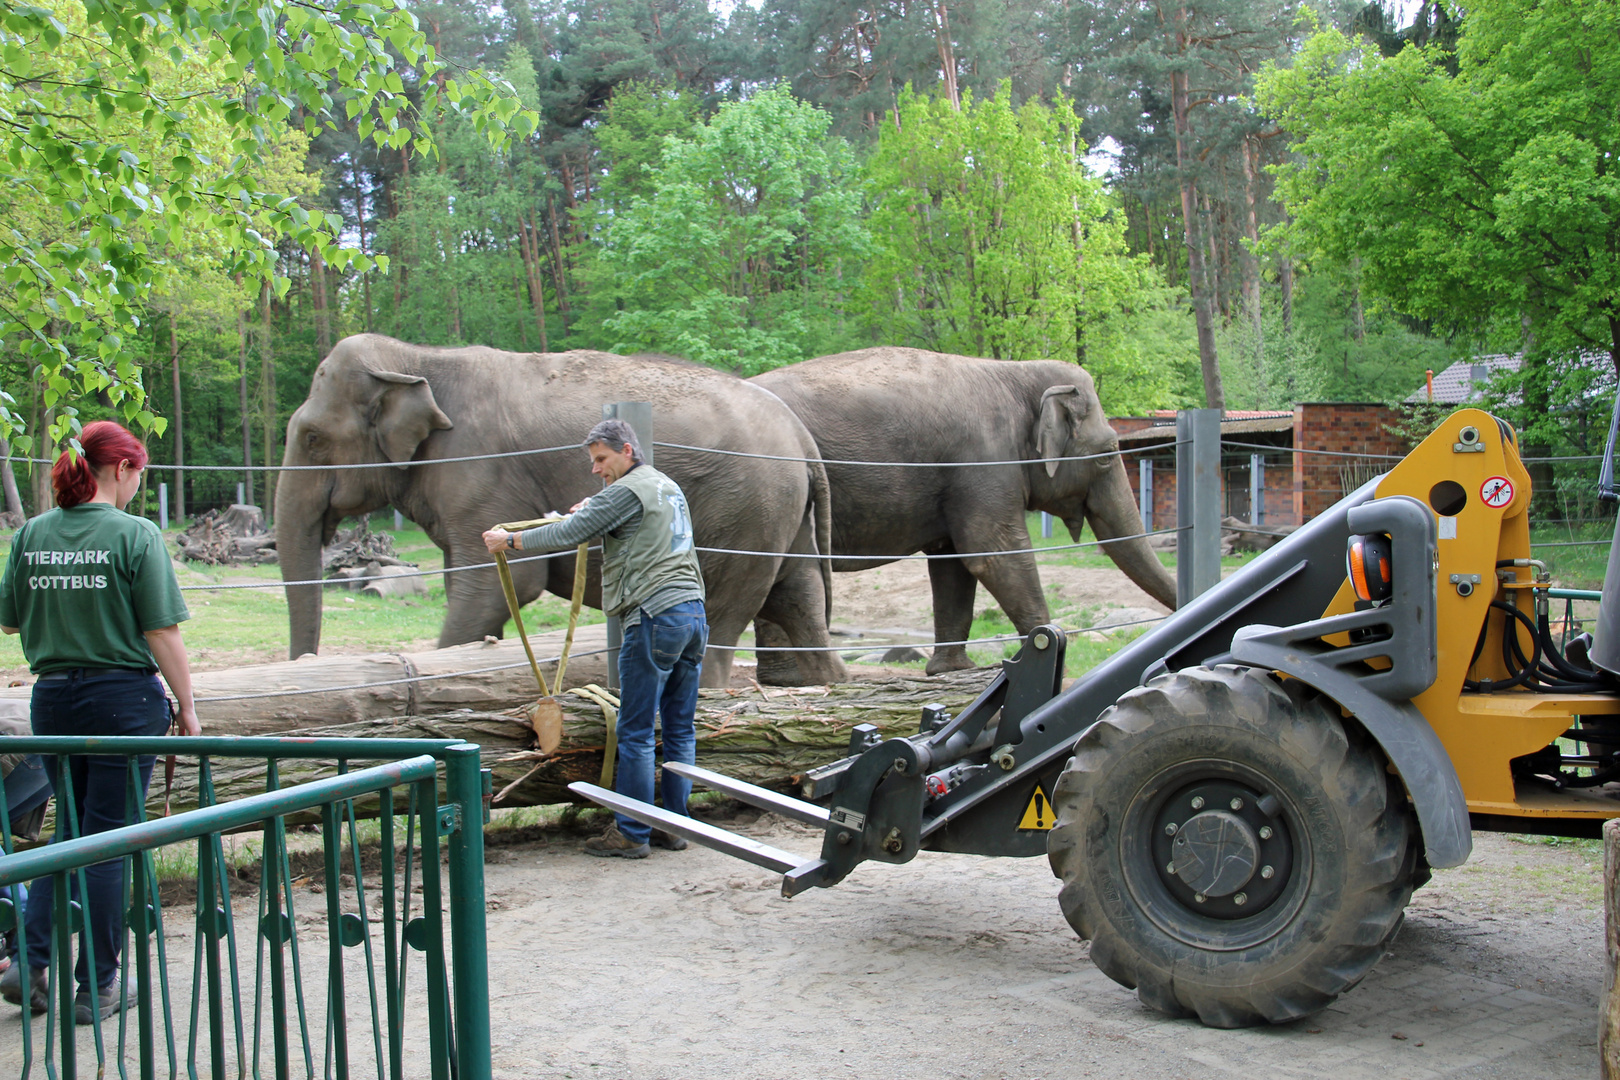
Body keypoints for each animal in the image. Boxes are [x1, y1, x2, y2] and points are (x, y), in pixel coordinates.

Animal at [275, 333, 848, 689]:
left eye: (313, 439)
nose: (306, 661)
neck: (417, 359)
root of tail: (801, 437)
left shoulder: (479, 469)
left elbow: (494, 588)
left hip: (745, 515)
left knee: (723, 620)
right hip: (779, 513)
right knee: (798, 599)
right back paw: (831, 685)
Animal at [745, 348, 1179, 676]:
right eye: (1107, 454)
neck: (1017, 372)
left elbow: (953, 564)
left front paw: (952, 670)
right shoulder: (984, 462)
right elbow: (993, 553)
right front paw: (1048, 655)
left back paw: (786, 680)